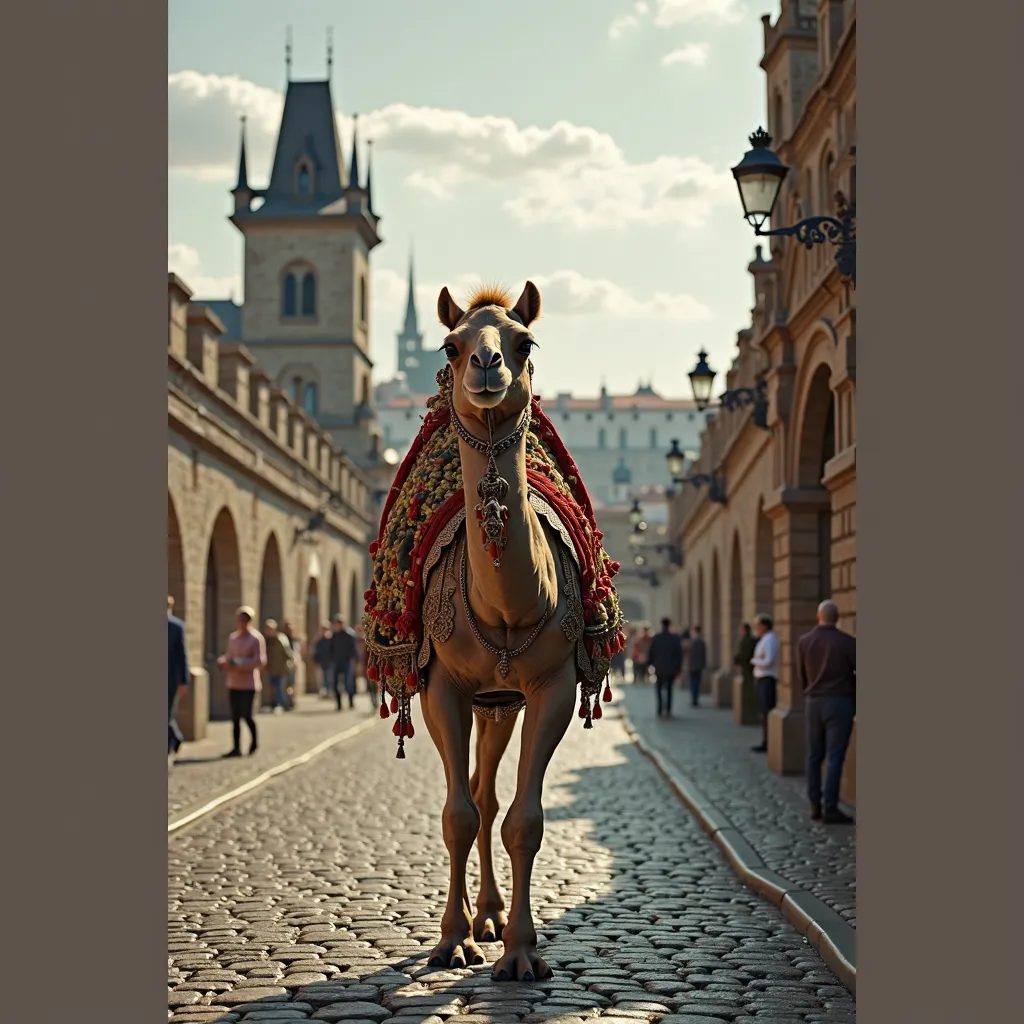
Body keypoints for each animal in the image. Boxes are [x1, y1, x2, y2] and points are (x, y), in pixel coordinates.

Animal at [368, 282, 622, 983]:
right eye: (450, 346)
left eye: (525, 341)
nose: (486, 366)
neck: (507, 607)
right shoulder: (442, 691)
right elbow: (457, 815)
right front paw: (451, 941)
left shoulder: (551, 690)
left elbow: (524, 821)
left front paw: (521, 950)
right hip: (480, 701)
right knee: (474, 798)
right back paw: (474, 921)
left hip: (502, 706)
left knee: (491, 796)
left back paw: (493, 915)